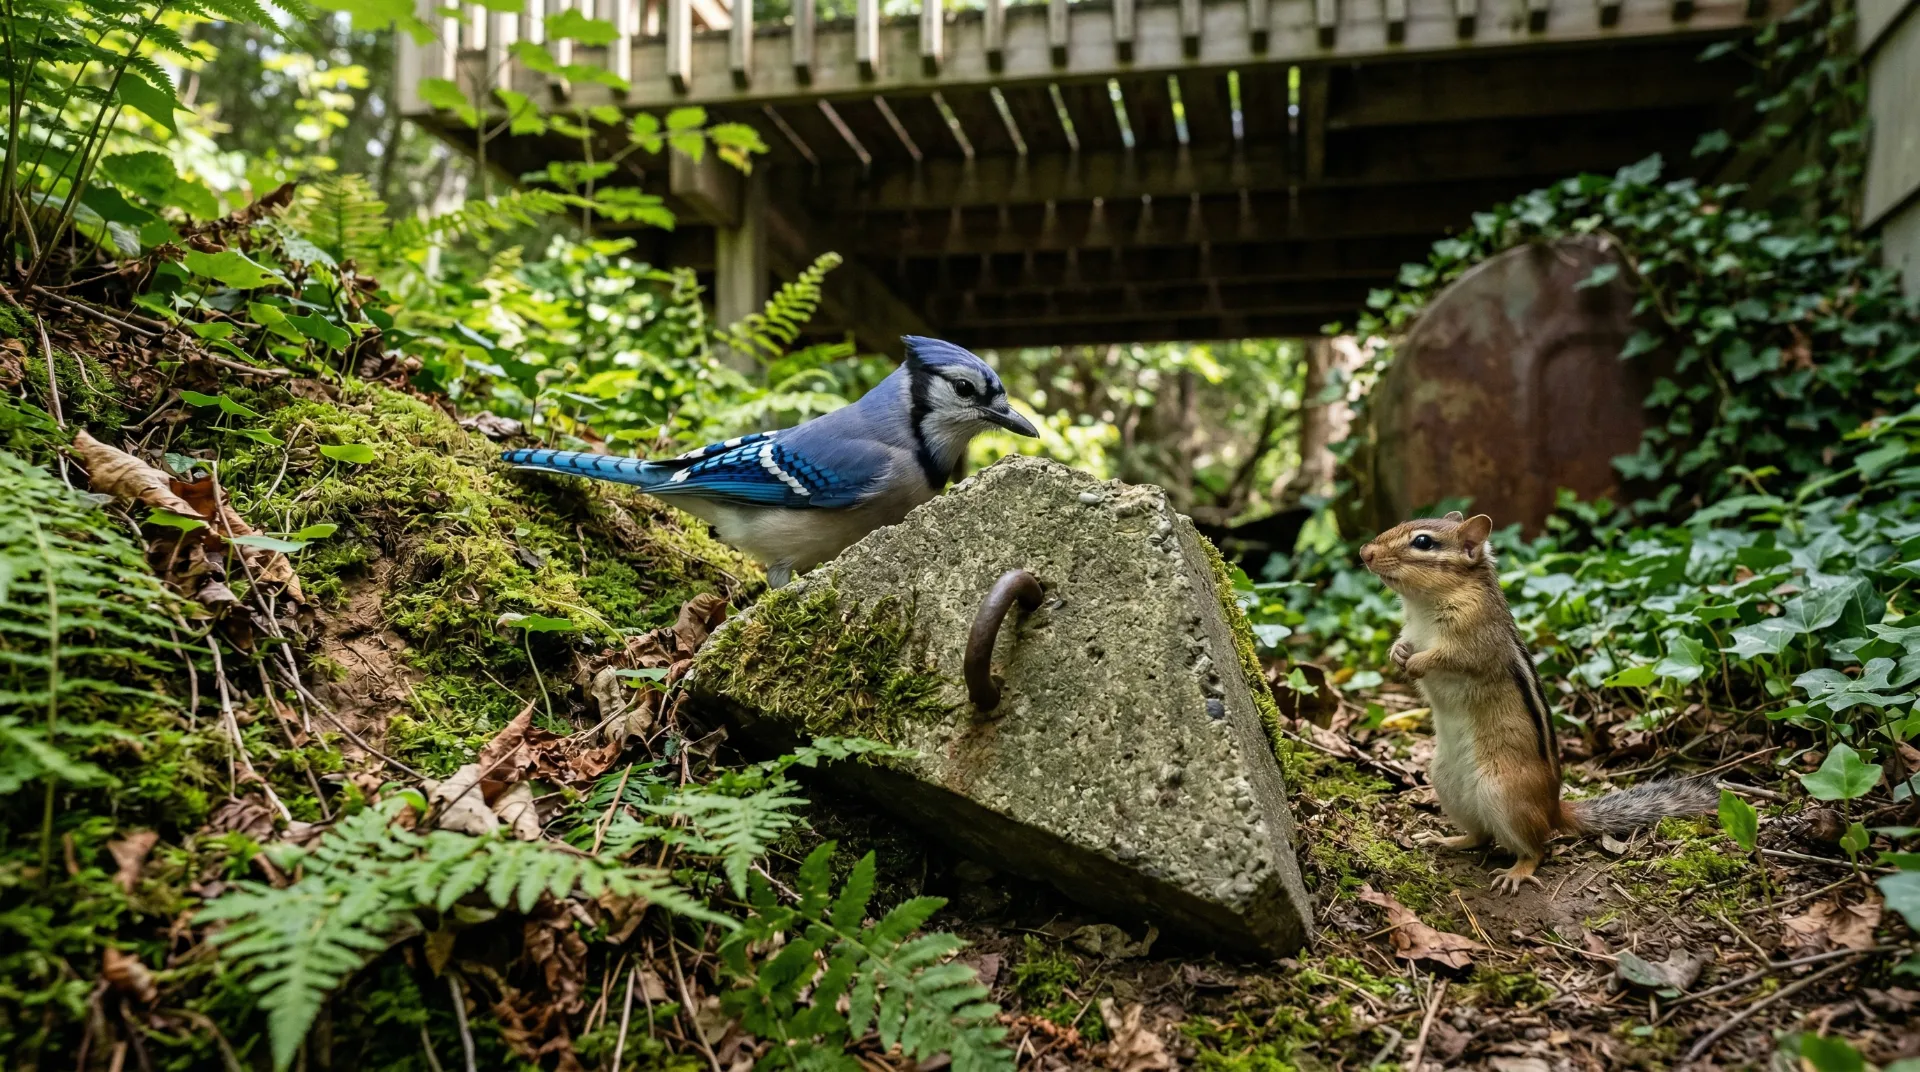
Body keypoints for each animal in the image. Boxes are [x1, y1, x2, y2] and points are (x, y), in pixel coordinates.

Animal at [1359, 511, 1717, 894]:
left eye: (1423, 542)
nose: (1365, 552)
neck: (1424, 606)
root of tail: (1552, 809)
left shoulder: (1475, 641)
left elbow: (1451, 658)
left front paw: (1417, 663)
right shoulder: (1412, 631)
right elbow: (1403, 644)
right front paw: (1399, 655)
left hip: (1504, 794)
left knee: (1537, 849)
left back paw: (1516, 871)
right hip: (1445, 782)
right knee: (1481, 836)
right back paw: (1448, 840)